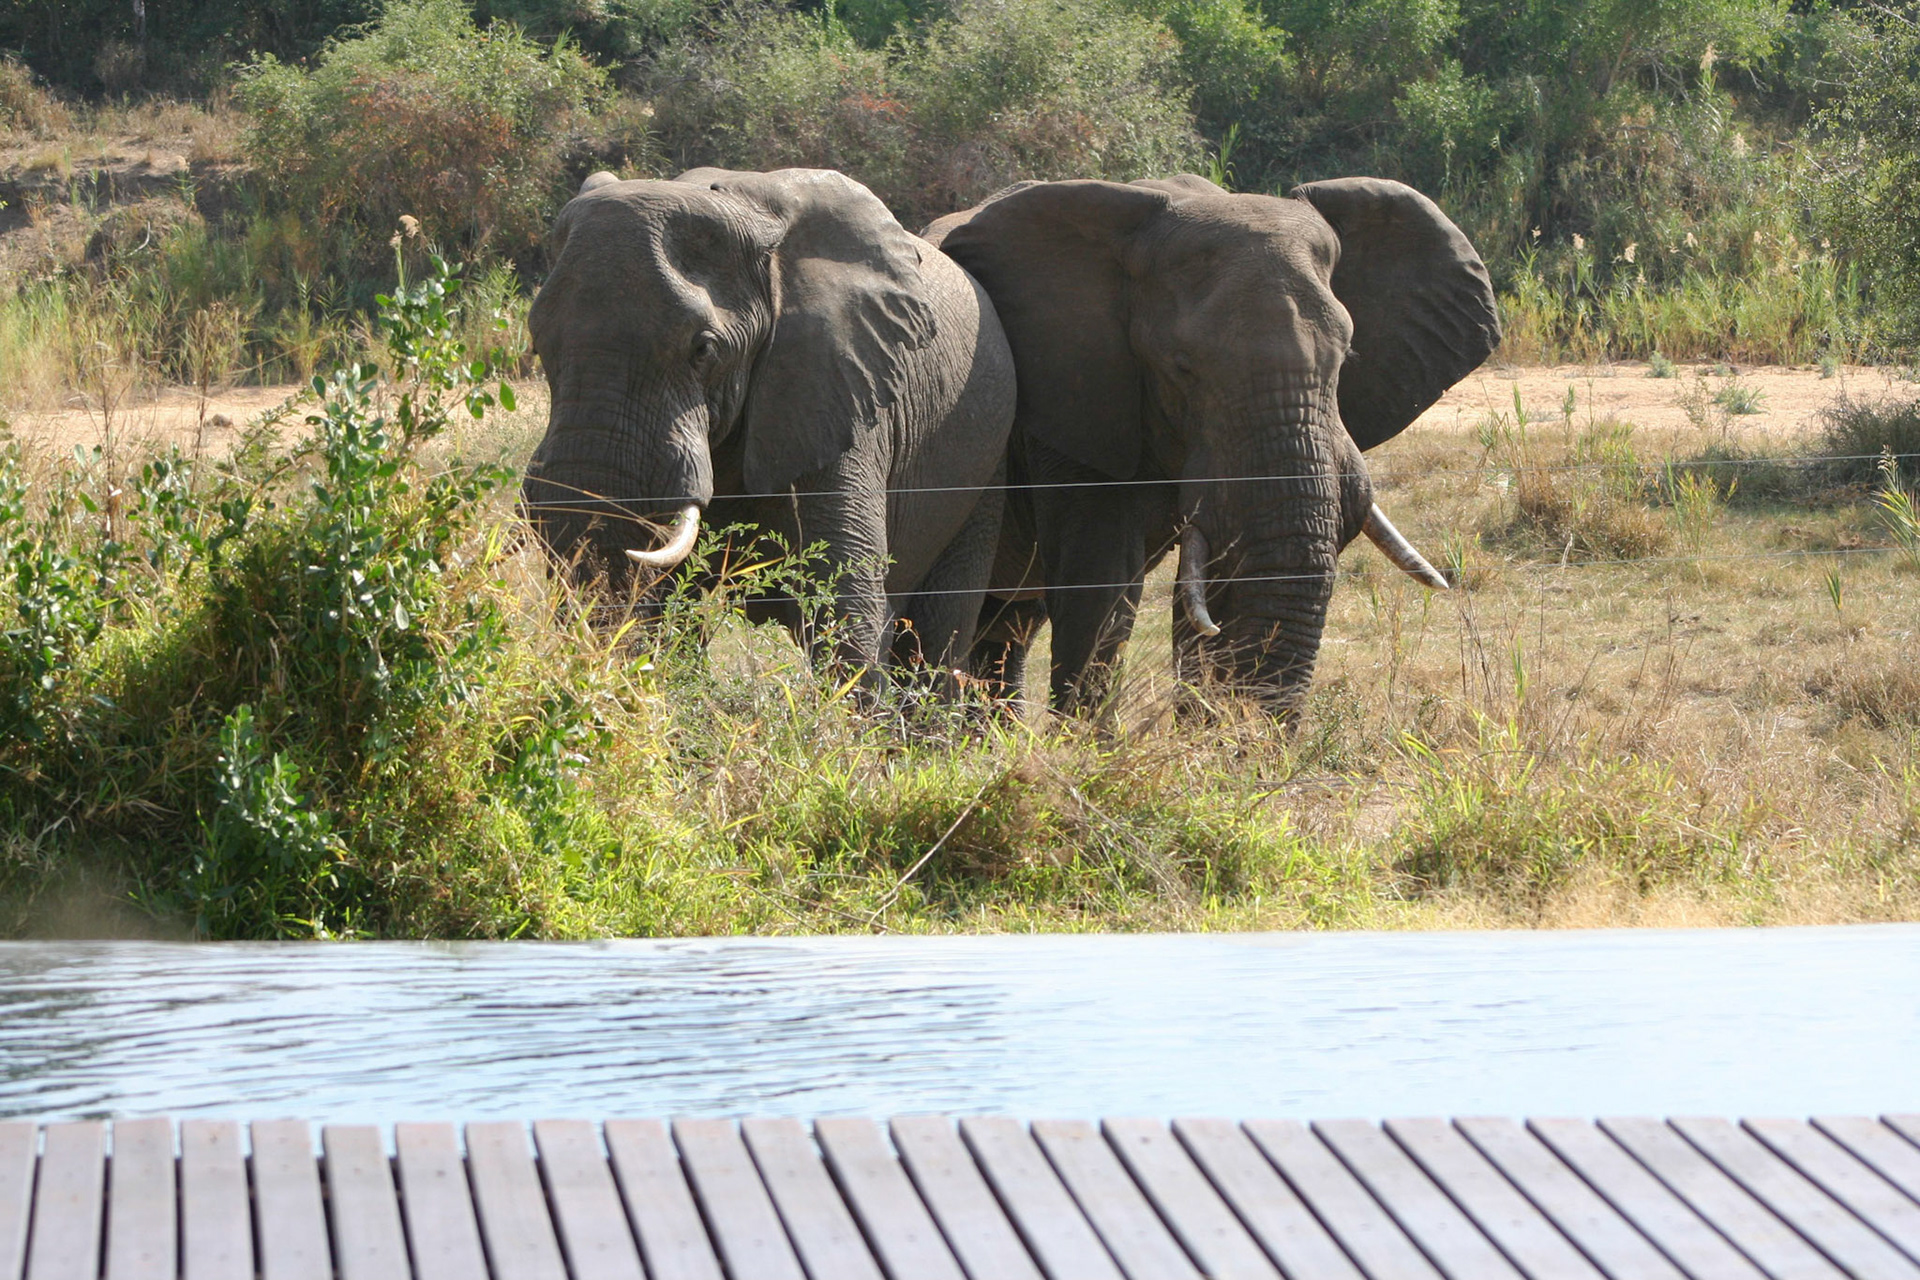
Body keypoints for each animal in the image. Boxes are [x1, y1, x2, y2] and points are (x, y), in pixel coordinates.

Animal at [520, 166, 1017, 690]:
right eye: (537, 342)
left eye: (703, 349)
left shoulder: (837, 385)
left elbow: (846, 600)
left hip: (985, 459)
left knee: (937, 632)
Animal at [925, 173, 1500, 716]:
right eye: (1181, 368)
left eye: (1346, 358)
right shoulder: (1079, 405)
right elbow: (1102, 590)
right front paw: (1090, 745)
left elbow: (1210, 588)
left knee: (1007, 626)